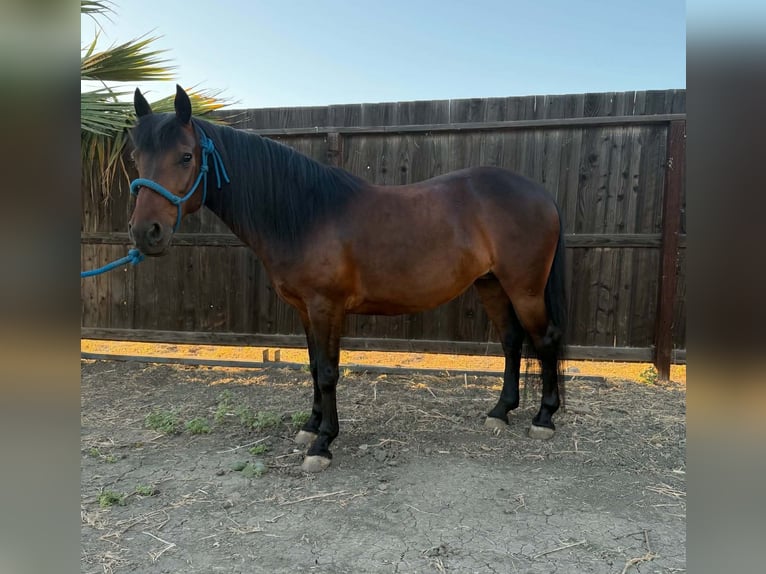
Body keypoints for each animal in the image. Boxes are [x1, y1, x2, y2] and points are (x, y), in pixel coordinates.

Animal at [128, 85, 567, 473]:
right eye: (136, 156)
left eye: (186, 156)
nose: (145, 232)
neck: (307, 214)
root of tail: (541, 194)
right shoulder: (304, 309)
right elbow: (311, 366)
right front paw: (310, 428)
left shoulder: (326, 307)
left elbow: (327, 371)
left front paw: (323, 443)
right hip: (491, 283)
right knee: (511, 341)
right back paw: (500, 411)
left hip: (525, 288)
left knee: (544, 340)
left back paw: (543, 418)